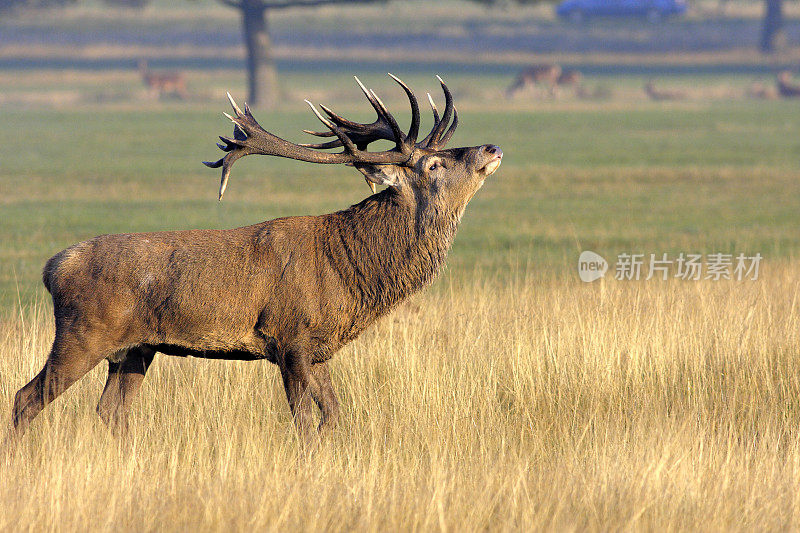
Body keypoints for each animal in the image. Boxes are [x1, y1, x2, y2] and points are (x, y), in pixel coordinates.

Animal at [9, 76, 504, 440]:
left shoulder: (319, 350)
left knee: (111, 410)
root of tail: (53, 267)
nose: (491, 147)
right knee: (25, 398)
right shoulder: (288, 336)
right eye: (433, 165)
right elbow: (304, 421)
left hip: (134, 349)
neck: (350, 273)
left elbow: (334, 416)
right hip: (84, 333)